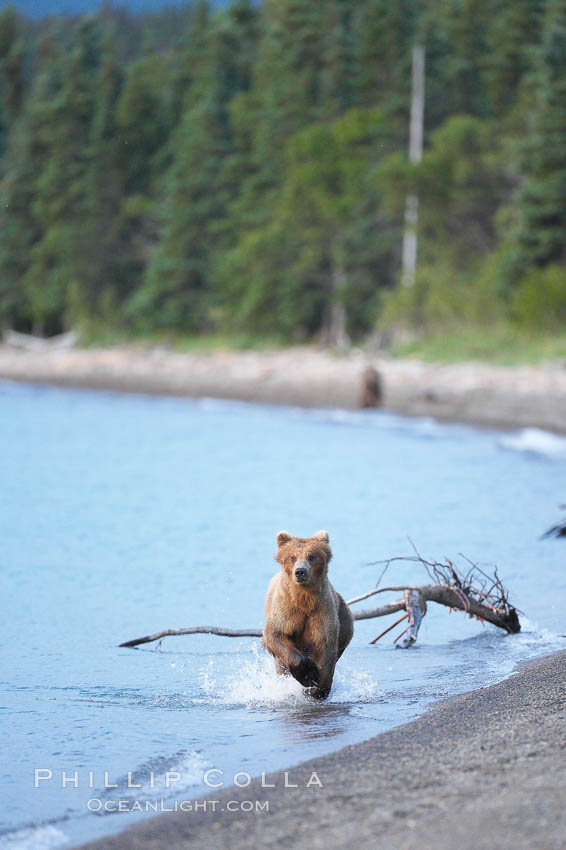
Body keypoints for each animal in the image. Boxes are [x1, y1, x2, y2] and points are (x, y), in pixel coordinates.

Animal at [262, 528, 352, 700]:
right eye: (292, 557)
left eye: (311, 556)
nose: (300, 571)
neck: (304, 599)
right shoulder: (285, 611)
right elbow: (276, 635)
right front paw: (308, 674)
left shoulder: (322, 613)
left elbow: (326, 648)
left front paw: (317, 688)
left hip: (345, 620)